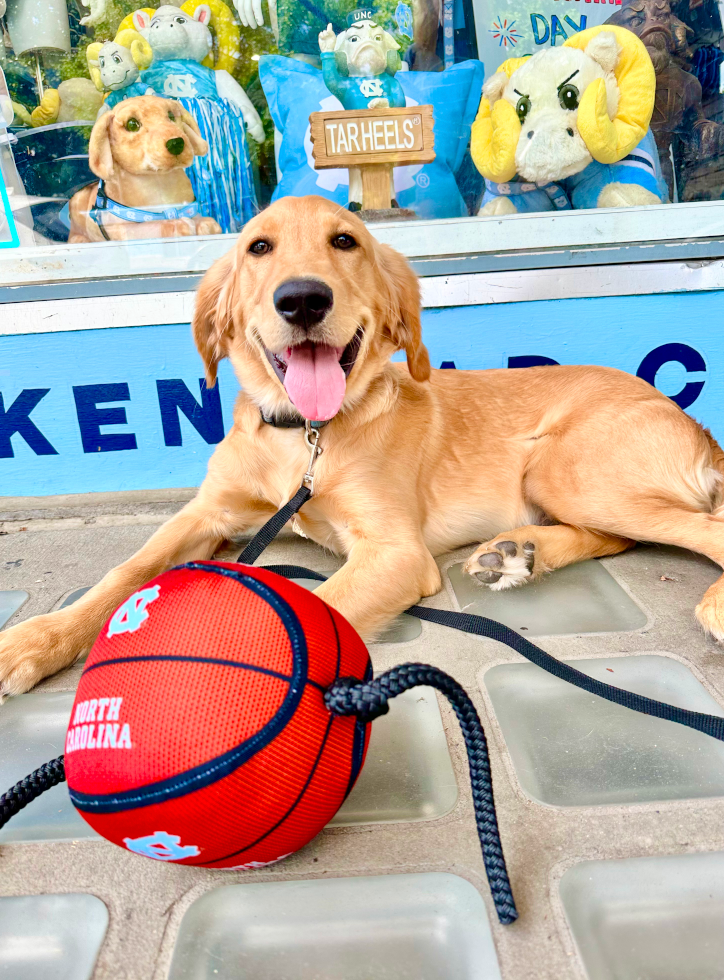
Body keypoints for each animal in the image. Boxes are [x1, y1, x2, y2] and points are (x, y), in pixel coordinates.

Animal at [1, 193, 724, 696]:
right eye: (258, 247)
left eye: (344, 241)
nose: (302, 299)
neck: (305, 437)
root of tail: (686, 418)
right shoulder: (206, 513)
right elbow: (125, 572)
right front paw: (32, 640)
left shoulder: (395, 551)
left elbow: (316, 610)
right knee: (615, 537)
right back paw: (519, 553)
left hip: (564, 467)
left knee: (696, 528)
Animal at [68, 95, 221, 243]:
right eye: (132, 124)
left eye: (171, 115)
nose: (176, 143)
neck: (159, 182)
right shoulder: (123, 230)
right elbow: (152, 226)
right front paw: (178, 225)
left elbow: (198, 218)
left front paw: (204, 223)